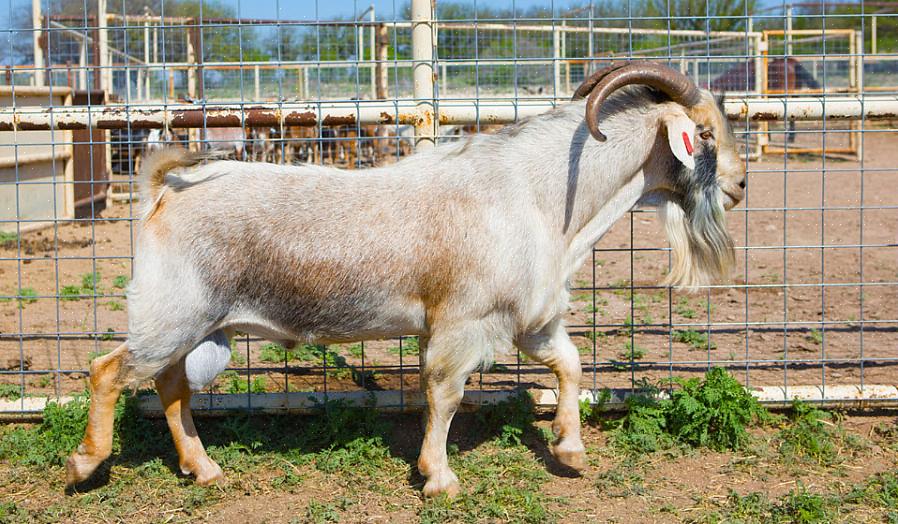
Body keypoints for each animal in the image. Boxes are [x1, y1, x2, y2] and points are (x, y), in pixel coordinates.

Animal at [66, 61, 744, 496]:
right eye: (705, 132)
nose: (739, 185)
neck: (541, 195)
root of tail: (163, 189)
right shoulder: (462, 323)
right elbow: (444, 394)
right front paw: (438, 478)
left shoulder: (529, 319)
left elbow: (570, 365)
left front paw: (569, 449)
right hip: (172, 313)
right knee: (110, 371)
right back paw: (84, 464)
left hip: (202, 326)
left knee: (171, 386)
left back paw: (203, 470)